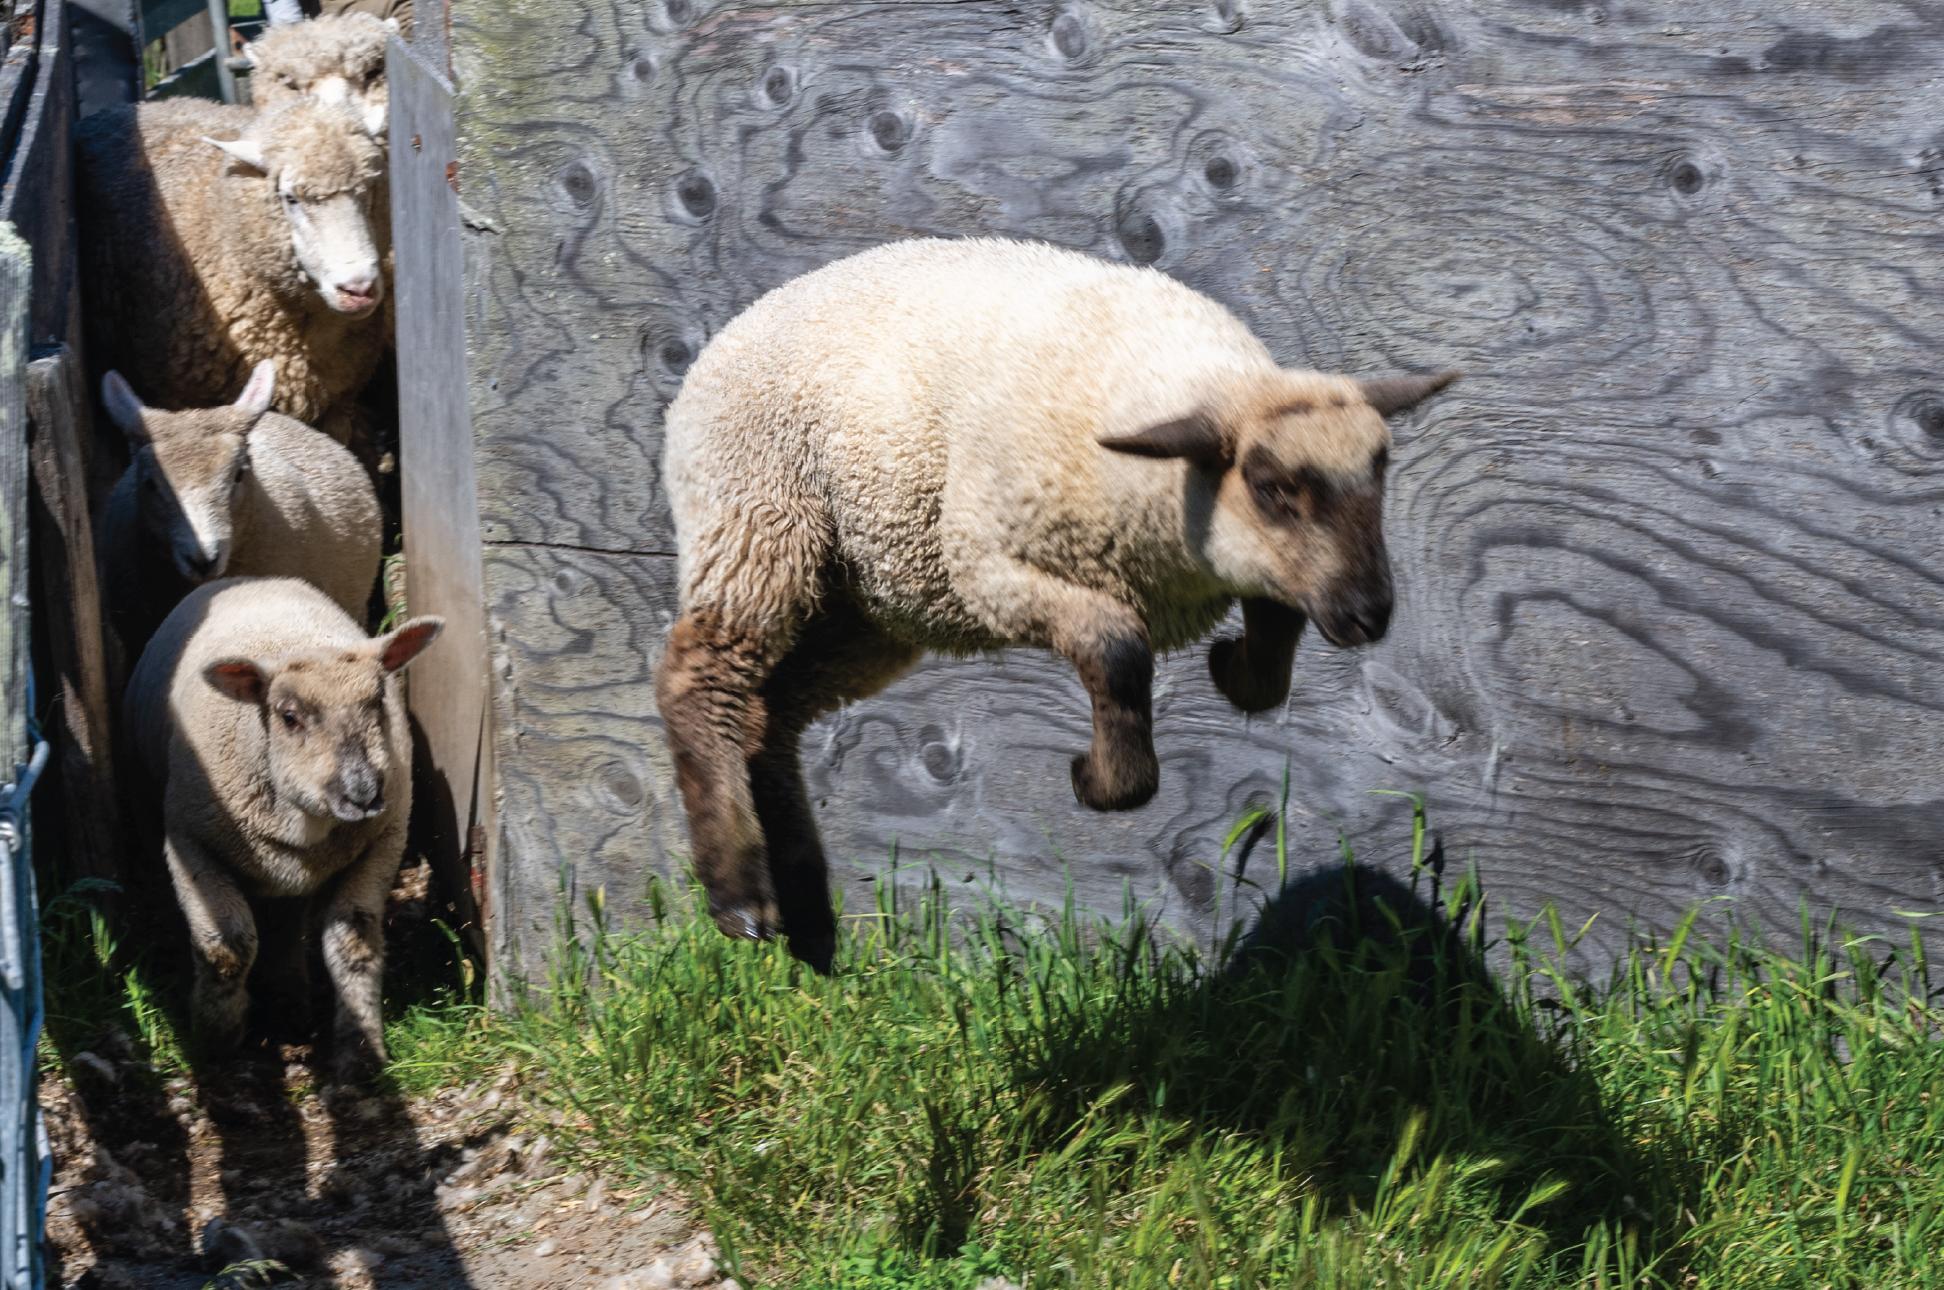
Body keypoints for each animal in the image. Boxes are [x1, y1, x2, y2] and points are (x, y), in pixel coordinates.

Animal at [123, 577, 442, 1081]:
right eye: (288, 716)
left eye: (377, 703)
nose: (364, 793)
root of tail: (255, 579)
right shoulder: (190, 844)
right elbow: (228, 947)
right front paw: (217, 1037)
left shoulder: (384, 841)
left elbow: (354, 943)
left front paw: (361, 1052)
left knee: (288, 925)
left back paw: (292, 1004)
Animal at [655, 237, 1461, 971]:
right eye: (1270, 487)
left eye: (1381, 469)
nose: (1369, 614)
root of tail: (722, 339)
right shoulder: (987, 564)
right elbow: (1117, 646)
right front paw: (1105, 781)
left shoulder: (1253, 568)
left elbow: (1273, 641)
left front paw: (1234, 668)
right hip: (759, 519)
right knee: (701, 678)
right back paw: (740, 897)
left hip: (866, 607)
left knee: (772, 713)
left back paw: (807, 916)